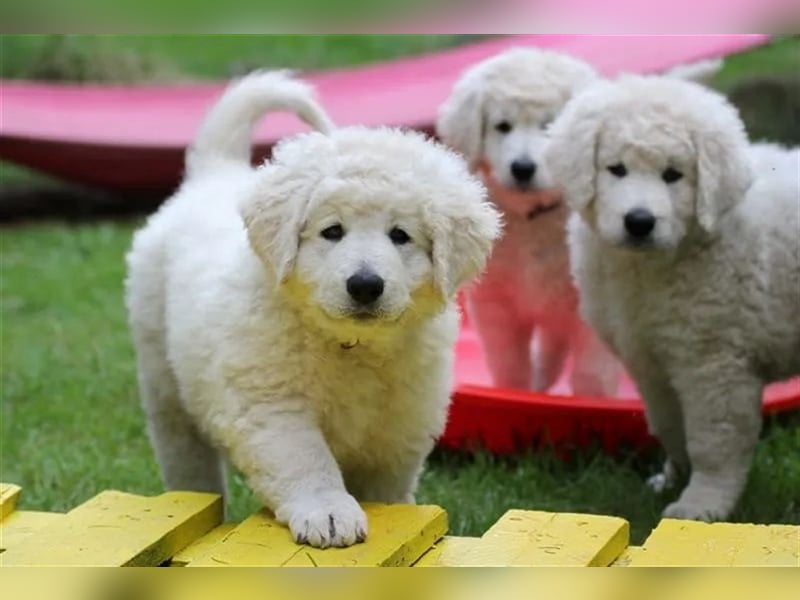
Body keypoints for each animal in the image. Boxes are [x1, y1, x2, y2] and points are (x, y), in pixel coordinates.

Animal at [125, 71, 500, 548]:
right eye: (332, 231)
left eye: (400, 235)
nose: (365, 285)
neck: (349, 345)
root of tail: (214, 175)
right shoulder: (274, 404)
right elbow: (306, 460)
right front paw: (329, 512)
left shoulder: (400, 426)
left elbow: (390, 490)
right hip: (163, 379)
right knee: (187, 457)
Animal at [438, 49, 620, 396]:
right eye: (502, 126)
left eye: (549, 125)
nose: (522, 168)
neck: (533, 219)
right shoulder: (497, 304)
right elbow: (510, 365)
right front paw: (518, 391)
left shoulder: (590, 306)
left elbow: (592, 374)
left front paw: (593, 400)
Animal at [544, 75, 800, 520]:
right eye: (616, 169)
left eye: (673, 175)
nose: (639, 221)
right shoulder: (650, 359)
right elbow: (668, 423)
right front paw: (671, 479)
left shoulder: (714, 363)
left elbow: (713, 441)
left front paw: (701, 505)